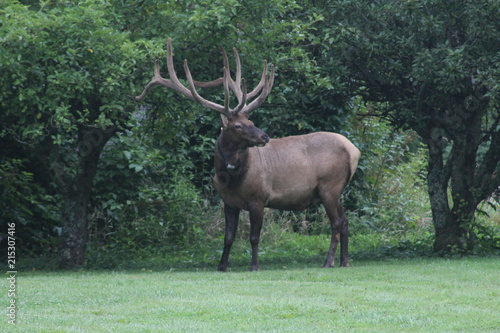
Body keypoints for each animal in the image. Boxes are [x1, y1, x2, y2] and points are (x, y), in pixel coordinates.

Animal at [135, 39, 360, 272]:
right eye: (238, 125)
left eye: (251, 120)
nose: (264, 136)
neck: (232, 179)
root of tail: (354, 151)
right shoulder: (228, 202)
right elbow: (228, 237)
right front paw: (221, 266)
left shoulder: (258, 198)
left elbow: (254, 237)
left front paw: (254, 266)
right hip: (337, 191)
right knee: (345, 221)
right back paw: (344, 261)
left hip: (329, 186)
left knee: (335, 222)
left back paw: (328, 262)